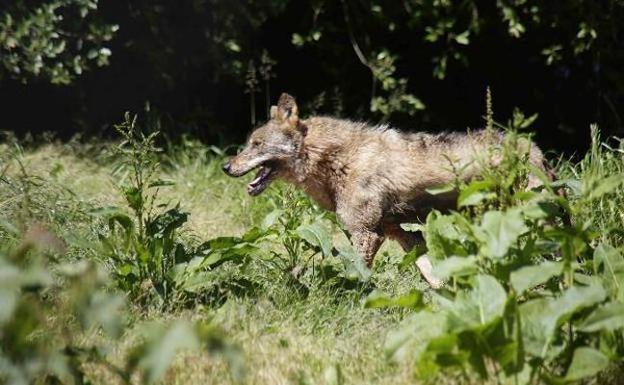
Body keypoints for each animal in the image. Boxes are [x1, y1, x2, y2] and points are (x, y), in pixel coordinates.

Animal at [222, 92, 544, 284]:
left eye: (256, 144)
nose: (225, 166)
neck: (337, 160)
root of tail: (532, 146)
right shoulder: (399, 234)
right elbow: (430, 272)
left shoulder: (367, 233)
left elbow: (356, 275)